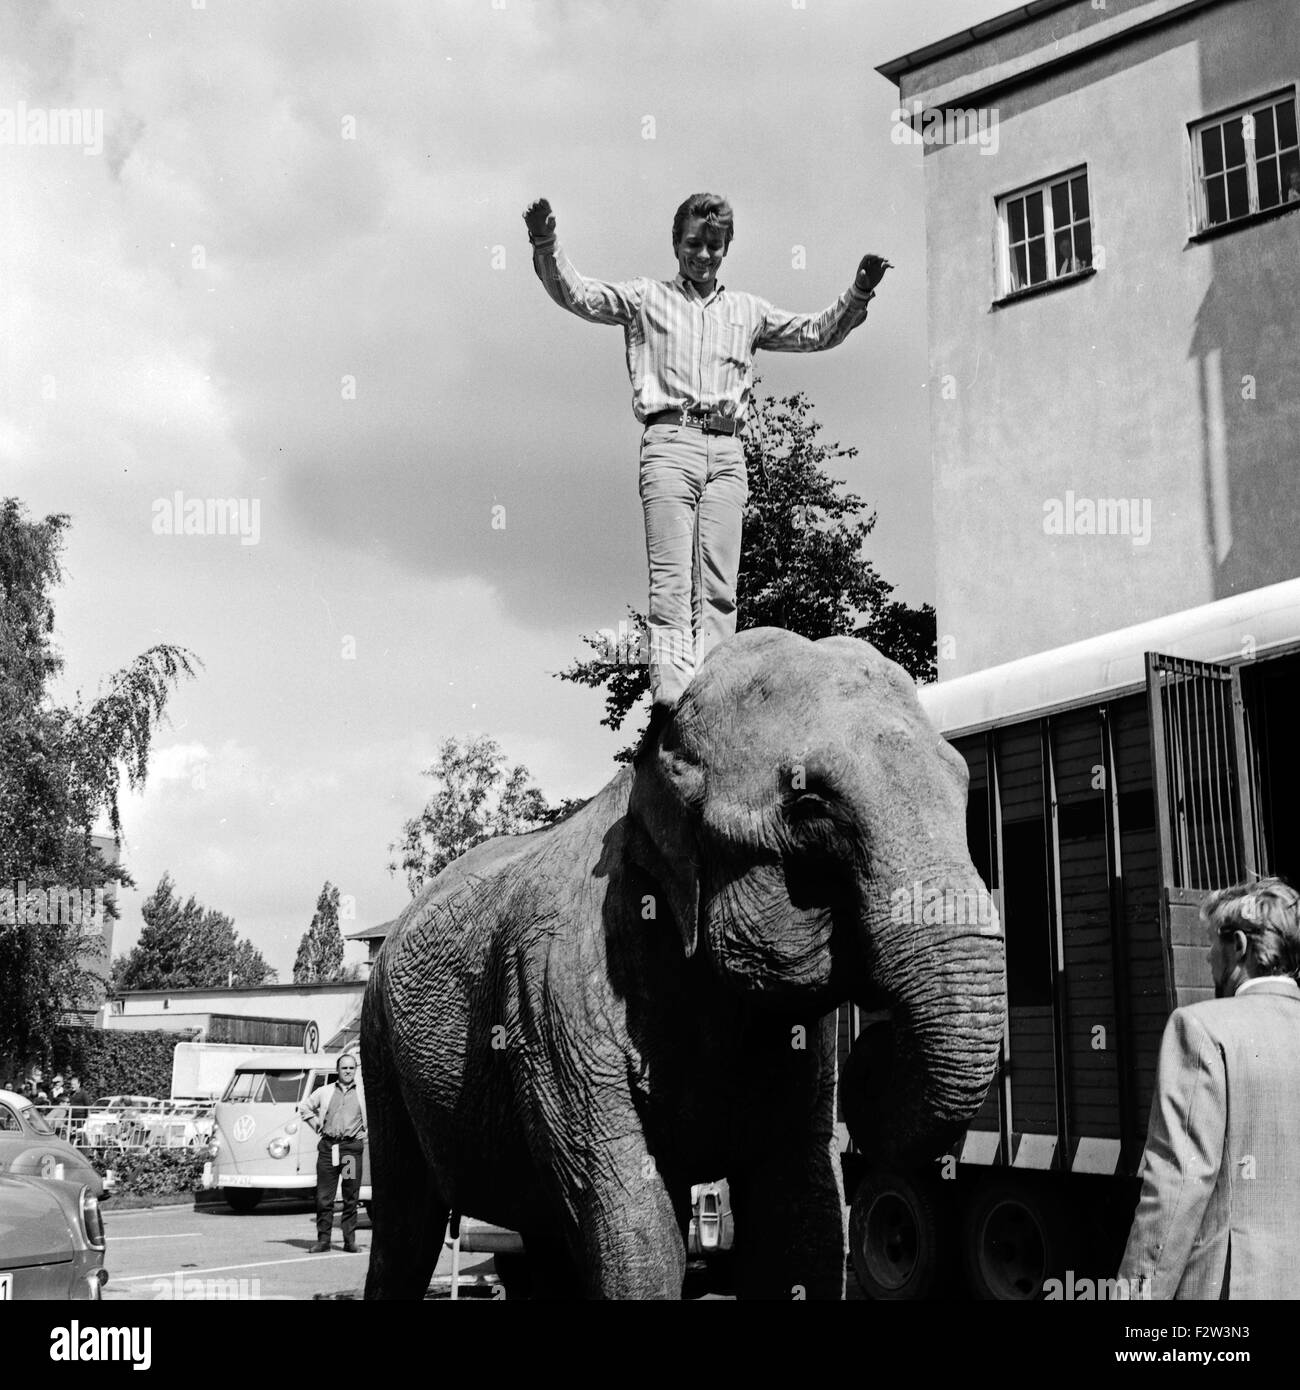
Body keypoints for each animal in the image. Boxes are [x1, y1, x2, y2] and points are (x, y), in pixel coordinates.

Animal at [361, 627, 1006, 1299]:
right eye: (809, 803)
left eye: (961, 785)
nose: (872, 1057)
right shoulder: (553, 997)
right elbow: (634, 1219)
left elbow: (803, 1211)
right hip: (380, 1050)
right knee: (405, 1226)